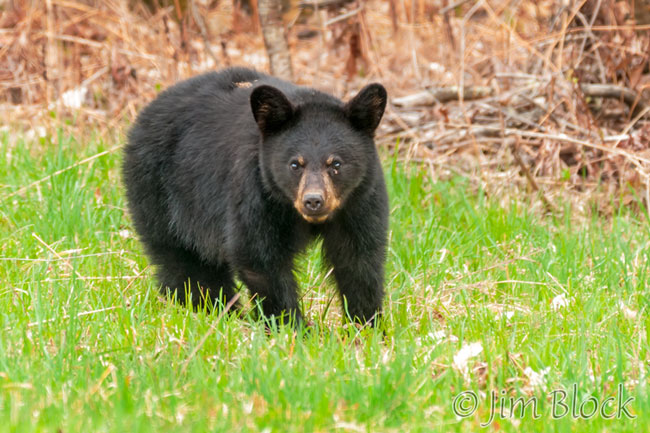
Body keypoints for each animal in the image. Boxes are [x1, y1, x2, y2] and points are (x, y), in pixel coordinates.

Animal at [122, 67, 388, 326]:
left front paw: (366, 323)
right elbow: (260, 257)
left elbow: (358, 258)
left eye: (336, 164)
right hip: (161, 193)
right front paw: (290, 326)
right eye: (295, 164)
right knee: (183, 261)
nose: (313, 201)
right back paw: (212, 311)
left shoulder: (359, 199)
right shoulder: (256, 192)